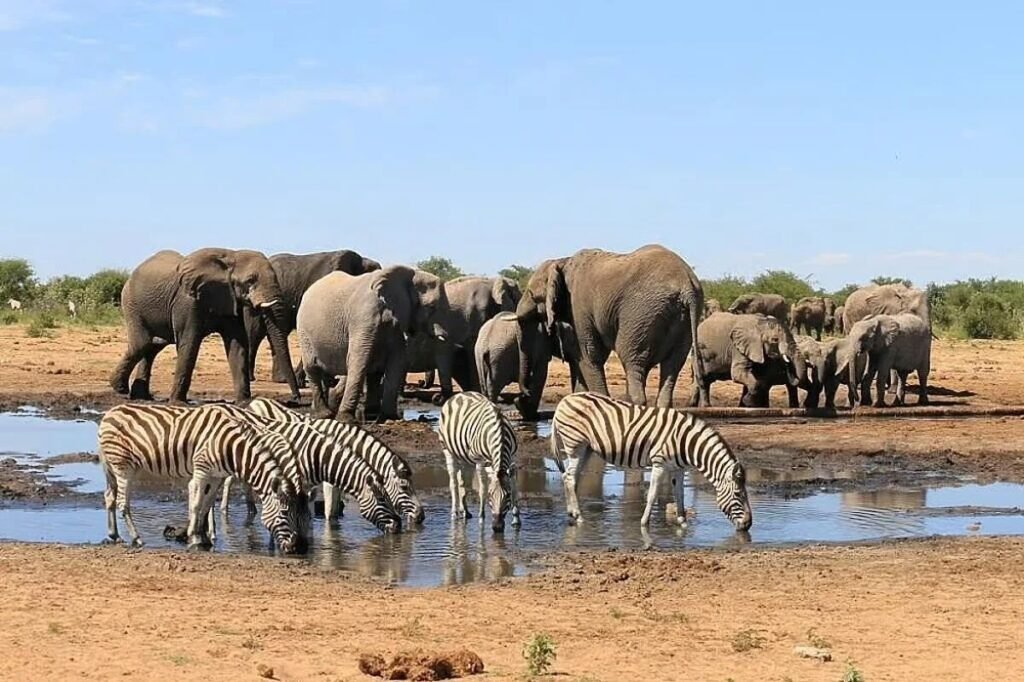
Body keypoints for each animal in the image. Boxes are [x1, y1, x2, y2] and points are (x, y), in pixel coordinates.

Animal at [110, 248, 298, 403]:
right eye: (250, 280)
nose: (295, 398)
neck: (231, 256)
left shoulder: (231, 301)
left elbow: (237, 346)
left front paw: (245, 403)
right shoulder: (187, 301)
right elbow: (189, 343)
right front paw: (178, 403)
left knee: (153, 345)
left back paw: (140, 396)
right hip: (132, 304)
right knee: (142, 343)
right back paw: (120, 389)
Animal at [296, 266, 450, 423]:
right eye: (431, 307)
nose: (436, 398)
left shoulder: (395, 324)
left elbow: (397, 361)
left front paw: (390, 418)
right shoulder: (362, 317)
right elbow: (358, 359)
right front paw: (346, 419)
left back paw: (365, 413)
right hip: (303, 330)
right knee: (313, 367)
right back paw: (325, 414)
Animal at [516, 244, 709, 409]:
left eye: (531, 293)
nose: (521, 397)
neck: (563, 262)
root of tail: (687, 286)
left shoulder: (578, 306)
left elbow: (589, 355)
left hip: (640, 314)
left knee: (631, 358)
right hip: (683, 321)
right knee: (672, 366)